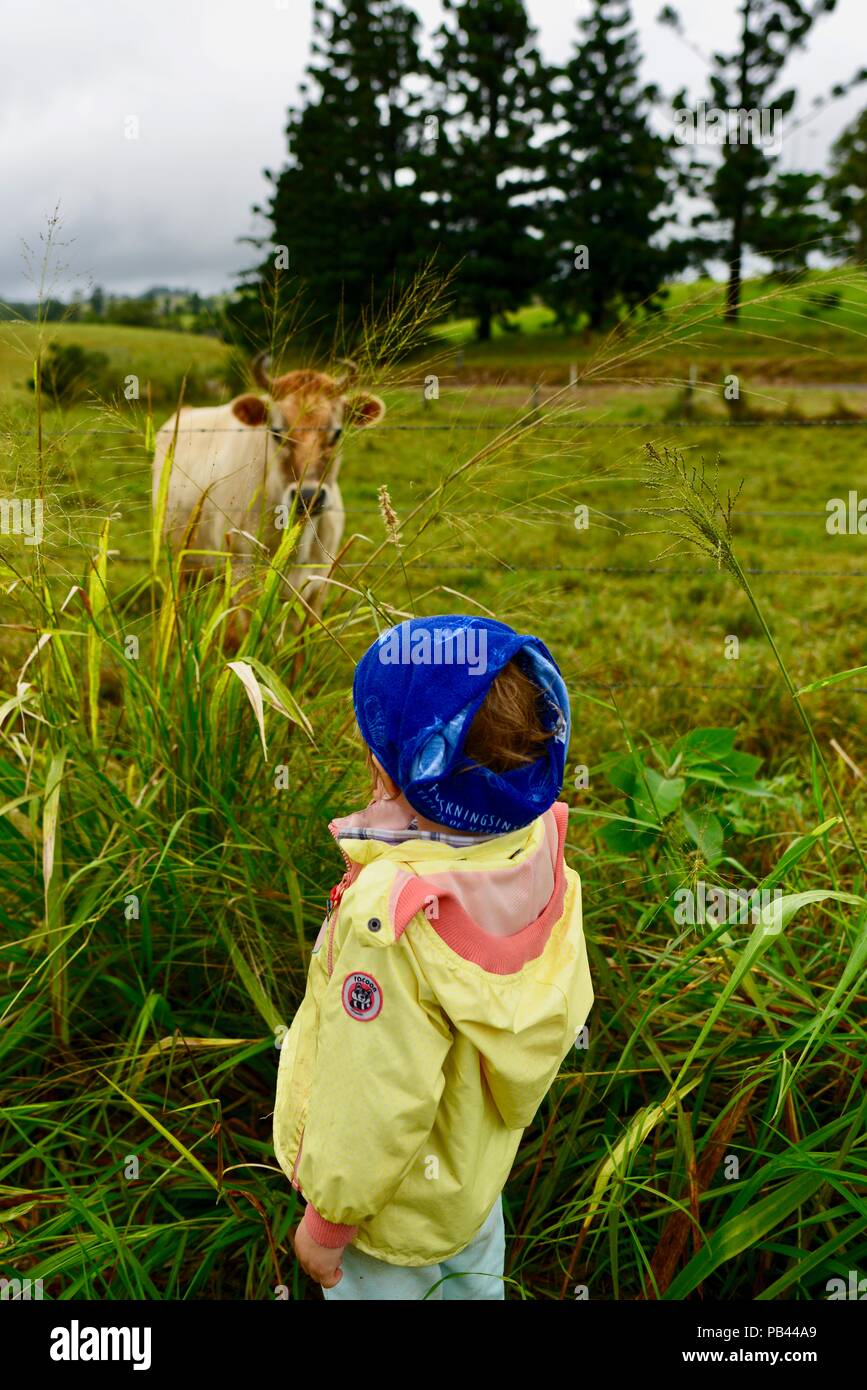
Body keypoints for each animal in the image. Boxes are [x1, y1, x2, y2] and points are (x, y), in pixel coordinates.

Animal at [152, 355, 386, 622]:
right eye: (276, 432)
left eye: (337, 433)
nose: (308, 496)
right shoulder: (244, 582)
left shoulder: (317, 587)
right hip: (181, 560)